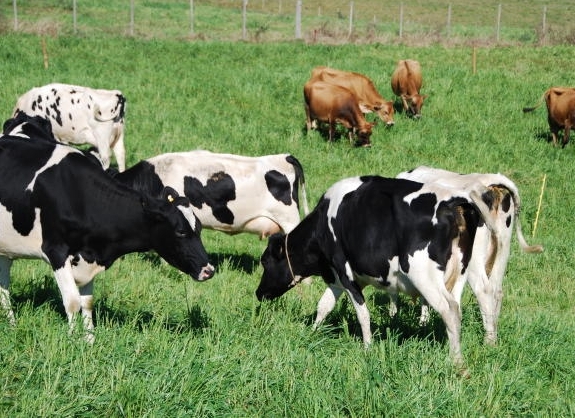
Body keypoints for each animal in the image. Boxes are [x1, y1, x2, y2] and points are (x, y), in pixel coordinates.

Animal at [0, 120, 215, 340]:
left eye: (199, 229)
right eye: (180, 231)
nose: (209, 270)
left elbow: (87, 302)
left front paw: (89, 340)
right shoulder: (55, 251)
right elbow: (72, 302)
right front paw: (72, 340)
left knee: (4, 285)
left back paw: (12, 324)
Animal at [258, 176, 492, 370]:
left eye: (265, 261)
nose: (258, 293)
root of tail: (454, 202)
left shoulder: (344, 271)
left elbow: (363, 314)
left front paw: (367, 348)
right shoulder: (339, 277)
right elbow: (324, 305)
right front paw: (312, 333)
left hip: (423, 273)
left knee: (450, 309)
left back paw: (456, 360)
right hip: (463, 269)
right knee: (479, 298)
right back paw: (489, 342)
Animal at [396, 165, 544, 344]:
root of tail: (490, 181)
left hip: (474, 259)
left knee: (484, 290)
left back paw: (488, 341)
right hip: (503, 245)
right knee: (496, 290)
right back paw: (493, 333)